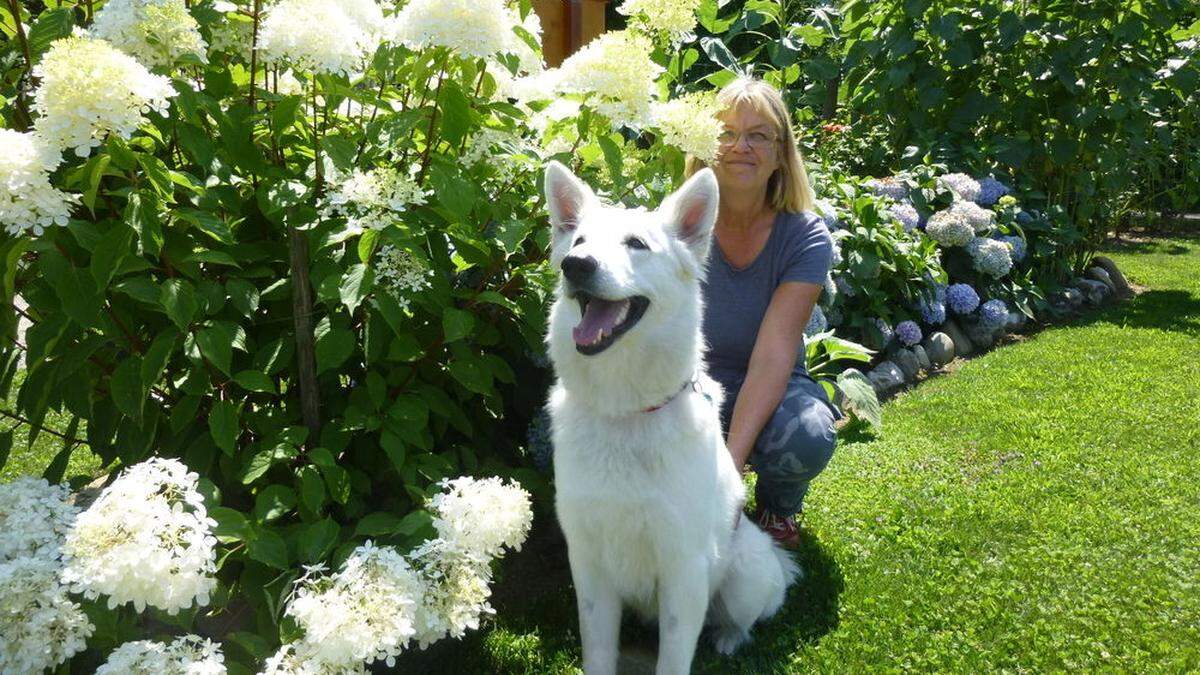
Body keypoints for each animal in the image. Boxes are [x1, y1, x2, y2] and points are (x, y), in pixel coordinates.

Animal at [544, 158, 796, 672]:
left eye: (636, 244)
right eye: (578, 243)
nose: (575, 266)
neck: (624, 410)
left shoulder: (684, 571)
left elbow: (674, 656)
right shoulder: (589, 568)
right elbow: (598, 651)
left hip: (743, 573)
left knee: (742, 618)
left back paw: (729, 638)